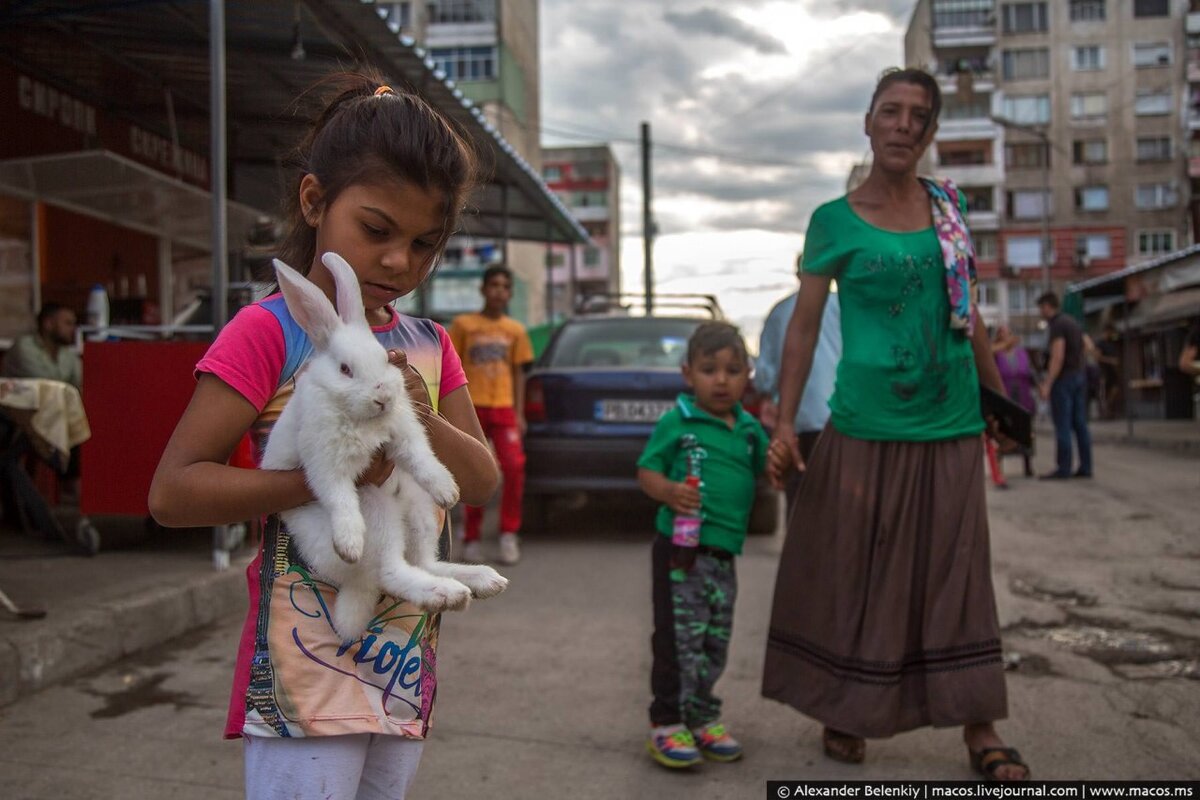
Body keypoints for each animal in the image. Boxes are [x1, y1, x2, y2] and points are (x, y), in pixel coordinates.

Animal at [262, 253, 506, 642]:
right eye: (345, 369)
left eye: (384, 359)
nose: (383, 397)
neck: (363, 418)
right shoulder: (325, 464)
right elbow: (337, 497)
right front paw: (348, 542)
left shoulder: (404, 434)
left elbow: (422, 459)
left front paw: (448, 491)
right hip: (378, 511)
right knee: (391, 572)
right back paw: (446, 592)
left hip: (418, 511)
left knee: (424, 562)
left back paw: (479, 580)